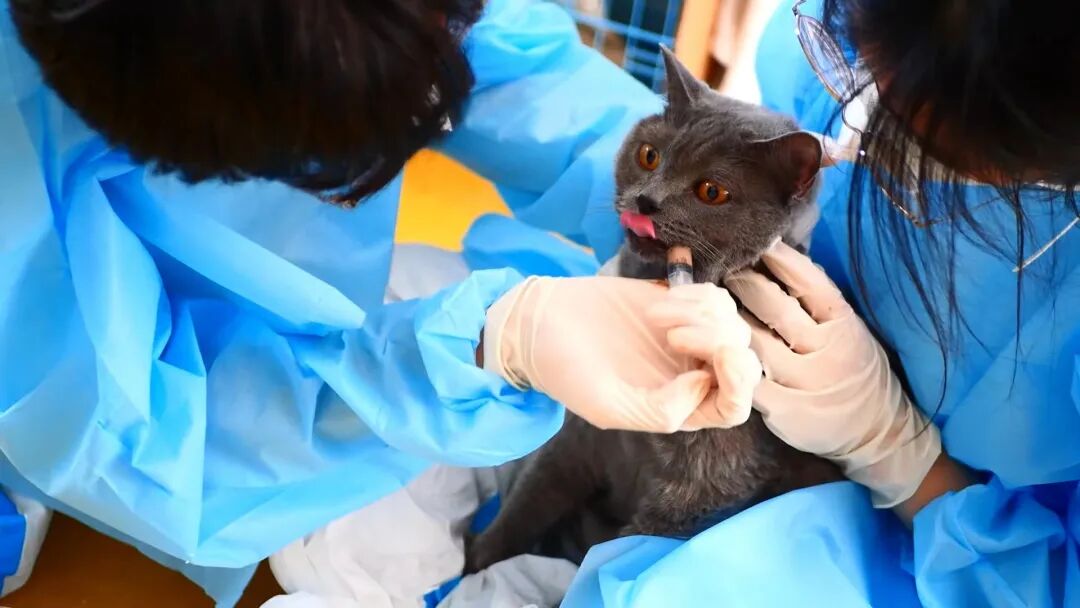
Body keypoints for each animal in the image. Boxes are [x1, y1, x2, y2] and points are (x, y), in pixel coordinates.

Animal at [464, 49, 842, 574]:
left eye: (711, 192)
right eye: (649, 155)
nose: (647, 199)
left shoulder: (695, 496)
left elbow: (609, 560)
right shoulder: (578, 434)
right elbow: (526, 504)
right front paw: (473, 564)